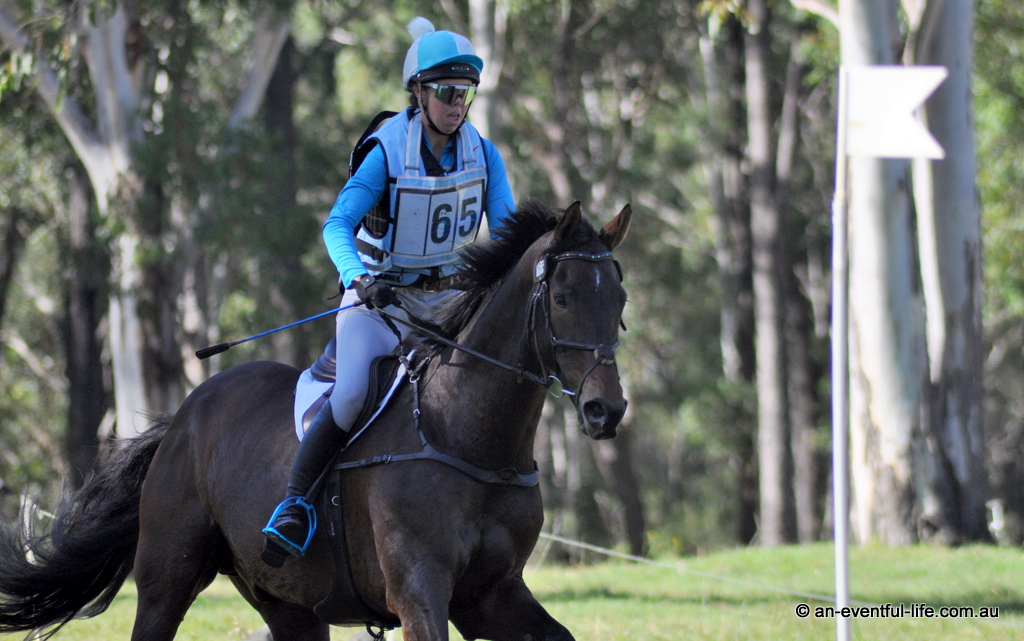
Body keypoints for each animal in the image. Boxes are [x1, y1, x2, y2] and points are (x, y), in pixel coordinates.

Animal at [0, 200, 631, 641]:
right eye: (564, 297)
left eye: (620, 300)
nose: (607, 410)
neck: (469, 437)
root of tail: (182, 418)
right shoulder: (419, 592)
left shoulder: (491, 595)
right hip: (165, 580)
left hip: (289, 605)